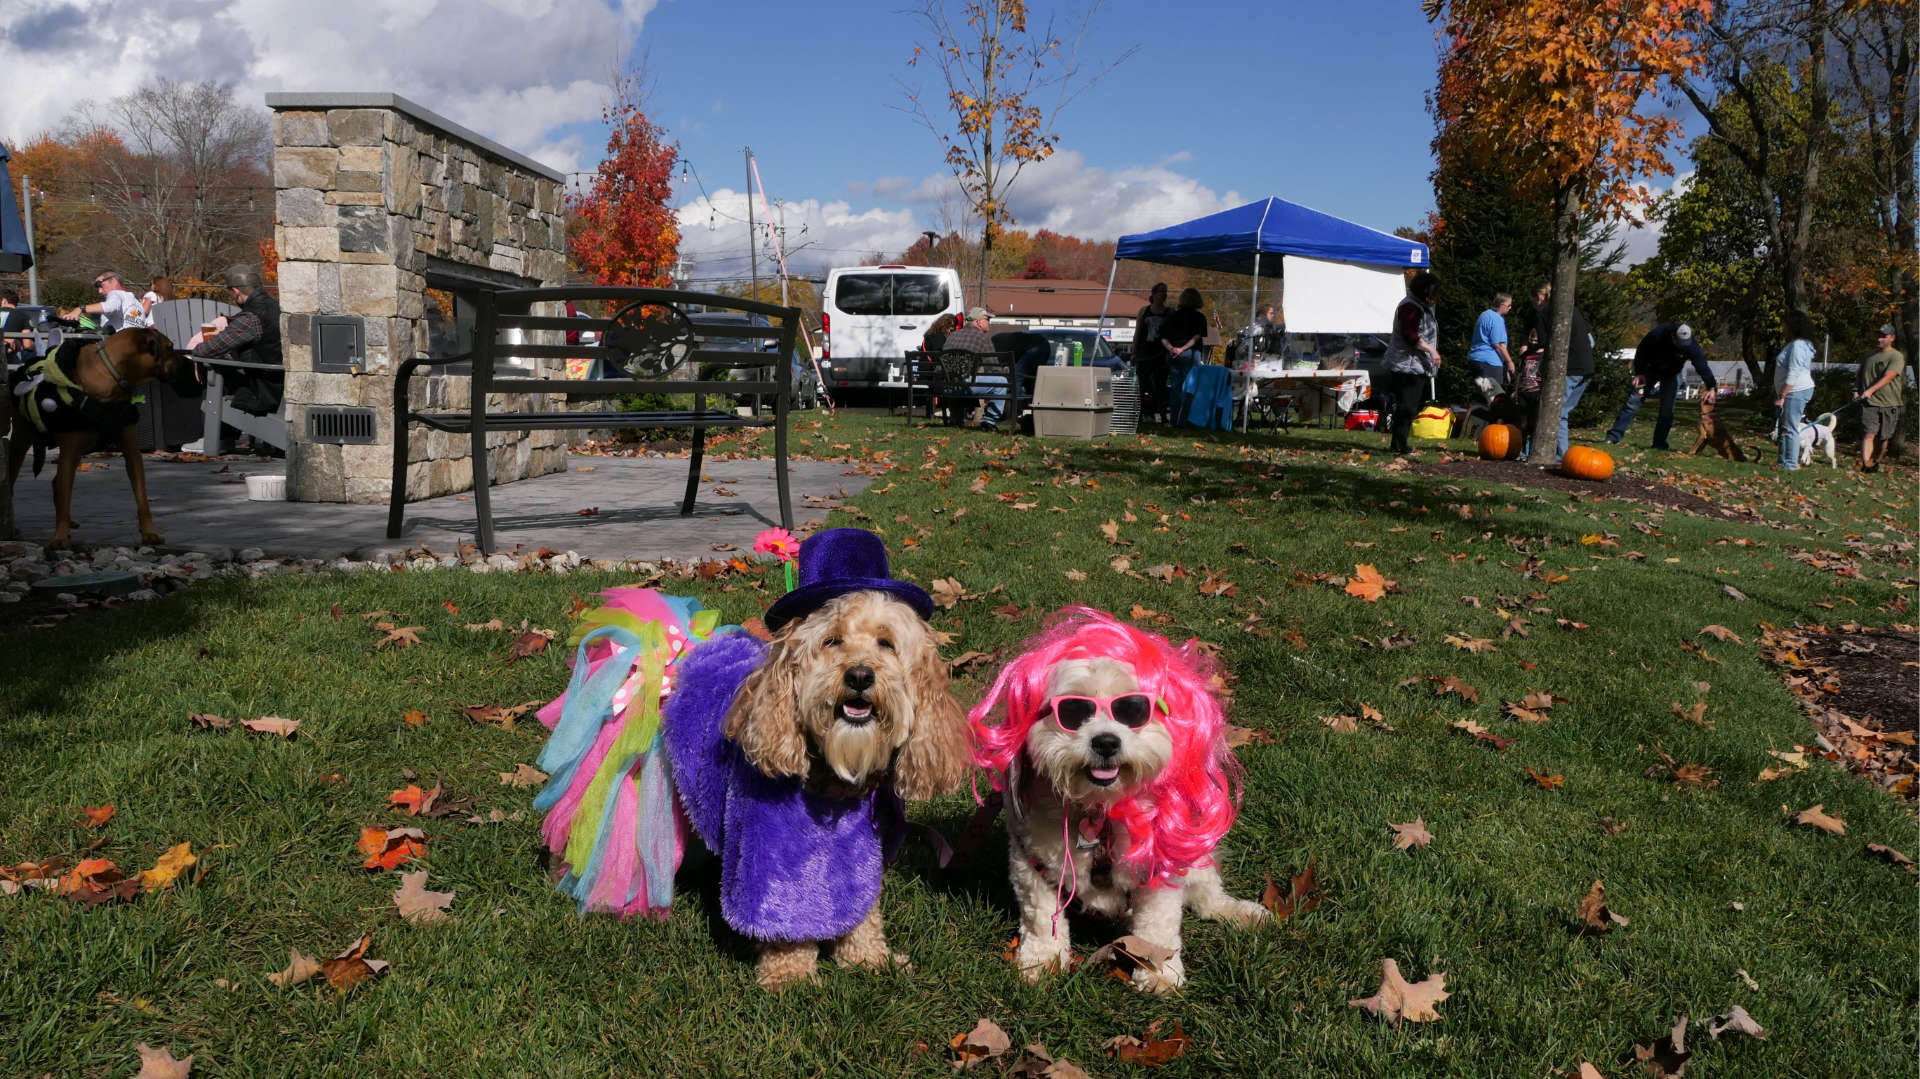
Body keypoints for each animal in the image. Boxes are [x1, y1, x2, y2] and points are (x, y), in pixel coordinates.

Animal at [3, 326, 189, 545]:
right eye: (170, 348)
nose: (187, 363)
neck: (112, 375)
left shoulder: (131, 452)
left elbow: (142, 497)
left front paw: (149, 531)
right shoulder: (69, 451)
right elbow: (65, 493)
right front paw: (59, 537)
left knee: (56, 483)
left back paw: (69, 521)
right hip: (21, 441)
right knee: (16, 482)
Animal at [533, 526, 967, 990]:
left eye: (887, 644)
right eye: (831, 641)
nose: (859, 676)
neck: (826, 779)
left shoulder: (859, 849)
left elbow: (861, 909)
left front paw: (868, 958)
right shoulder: (768, 859)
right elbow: (782, 923)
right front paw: (790, 976)